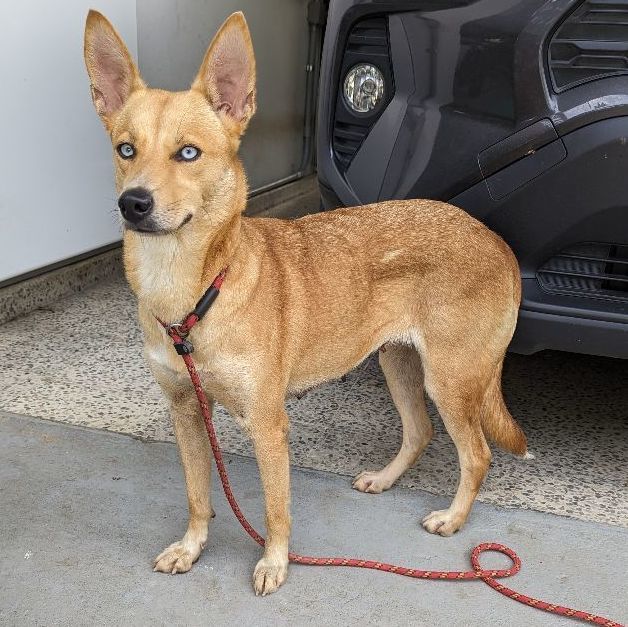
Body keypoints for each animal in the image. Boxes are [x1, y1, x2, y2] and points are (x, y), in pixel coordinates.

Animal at [83, 11, 528, 600]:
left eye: (189, 153)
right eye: (126, 149)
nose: (133, 203)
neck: (192, 289)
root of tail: (497, 240)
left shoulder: (269, 423)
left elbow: (276, 509)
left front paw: (275, 562)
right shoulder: (186, 409)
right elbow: (199, 495)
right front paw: (192, 547)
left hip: (450, 378)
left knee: (476, 455)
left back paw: (453, 518)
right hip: (398, 362)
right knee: (420, 432)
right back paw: (385, 479)